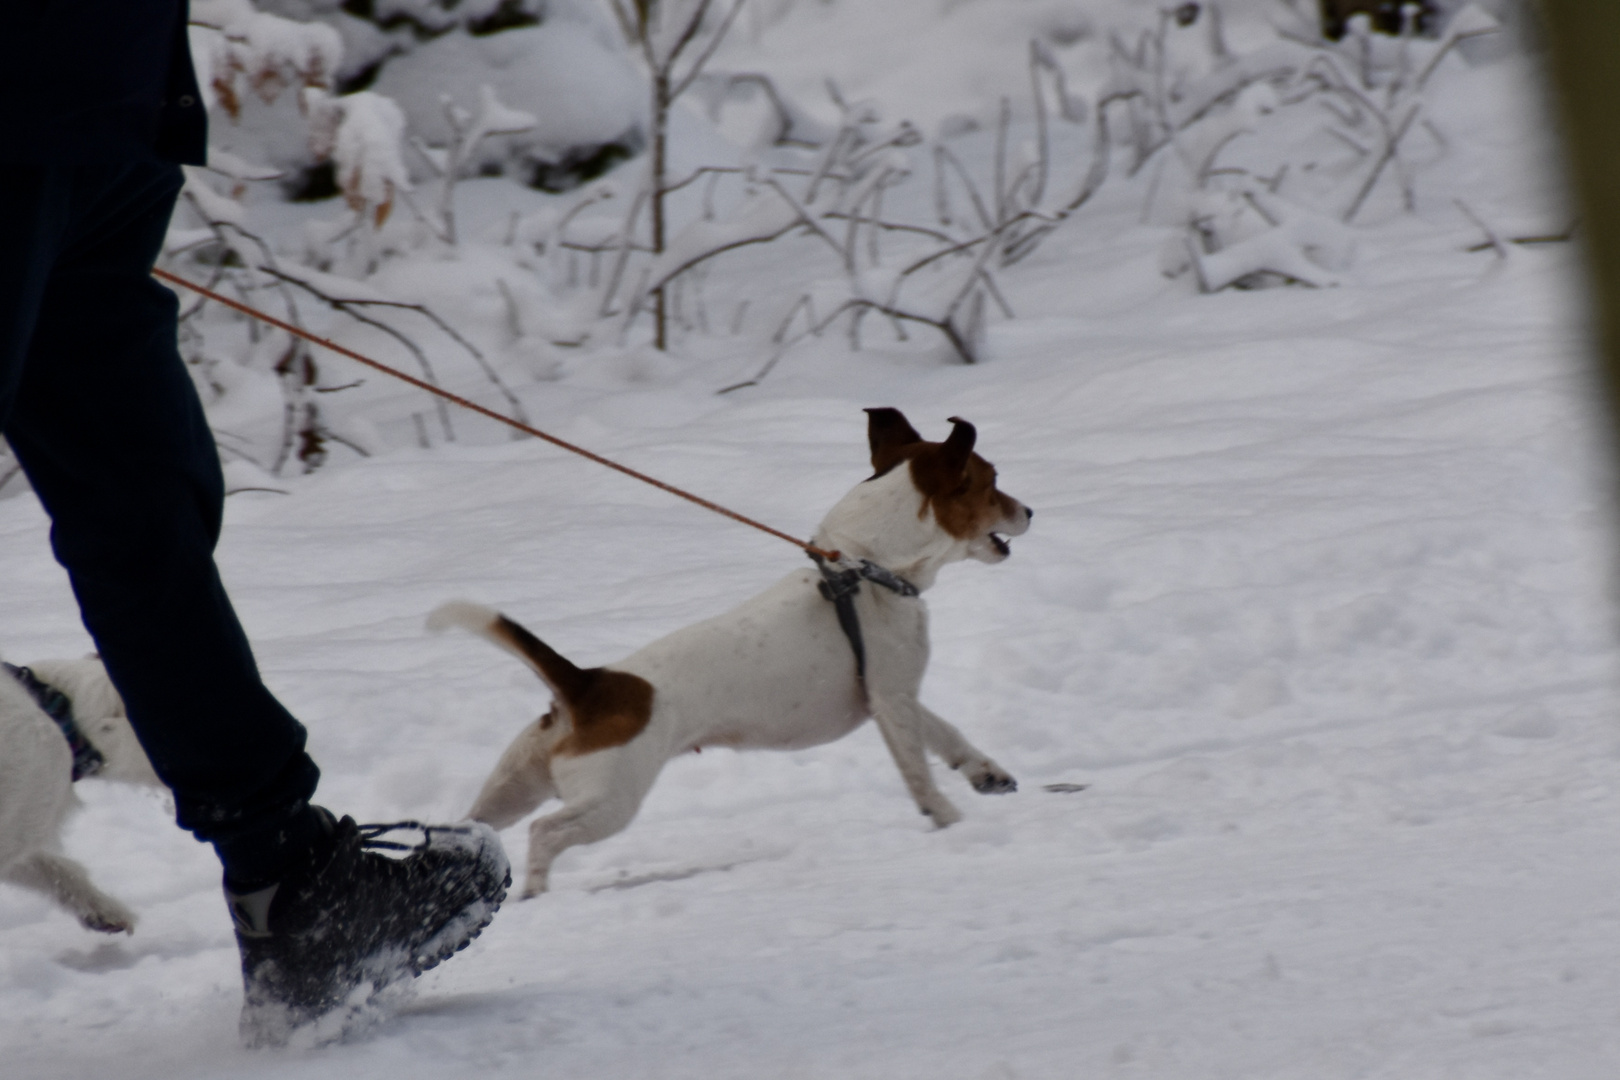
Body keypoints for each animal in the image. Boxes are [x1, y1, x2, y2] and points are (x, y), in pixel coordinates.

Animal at [430, 409, 1030, 900]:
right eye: (992, 482)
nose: (1029, 511)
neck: (866, 567)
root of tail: (586, 684)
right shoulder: (890, 699)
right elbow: (920, 774)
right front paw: (952, 818)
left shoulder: (893, 696)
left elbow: (945, 733)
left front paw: (986, 773)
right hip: (609, 801)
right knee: (545, 832)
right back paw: (534, 890)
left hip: (513, 786)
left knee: (475, 826)